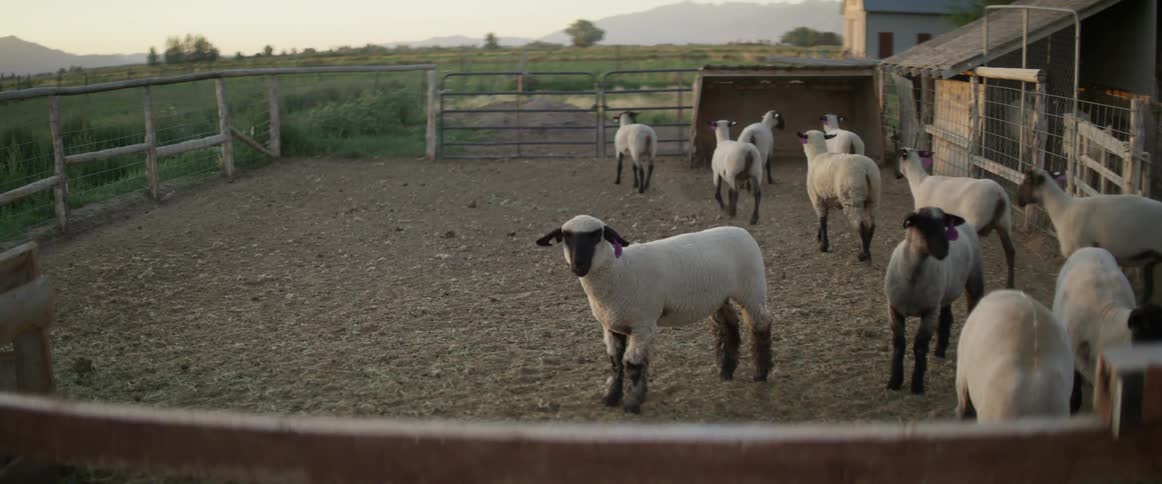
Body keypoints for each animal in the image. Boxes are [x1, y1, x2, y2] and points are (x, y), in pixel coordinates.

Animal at [536, 215, 772, 413]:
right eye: (566, 237)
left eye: (597, 236)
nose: (579, 265)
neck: (620, 270)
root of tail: (741, 230)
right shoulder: (611, 325)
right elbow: (615, 362)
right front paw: (611, 398)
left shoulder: (643, 324)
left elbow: (632, 364)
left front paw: (632, 403)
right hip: (720, 296)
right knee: (727, 325)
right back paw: (726, 372)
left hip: (752, 289)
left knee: (760, 325)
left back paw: (761, 374)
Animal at [796, 129, 882, 261]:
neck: (815, 156)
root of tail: (866, 169)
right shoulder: (828, 199)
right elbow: (823, 219)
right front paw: (820, 236)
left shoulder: (816, 198)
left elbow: (822, 220)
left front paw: (824, 246)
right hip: (873, 196)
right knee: (871, 224)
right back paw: (867, 250)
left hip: (851, 197)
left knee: (861, 225)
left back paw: (863, 254)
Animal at [884, 206, 984, 394]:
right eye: (922, 224)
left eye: (944, 224)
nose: (944, 249)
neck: (913, 278)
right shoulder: (894, 309)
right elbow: (899, 345)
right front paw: (894, 382)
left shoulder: (930, 311)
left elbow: (920, 346)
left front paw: (917, 385)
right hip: (945, 294)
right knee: (946, 318)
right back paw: (939, 351)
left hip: (974, 278)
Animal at [894, 147, 1016, 288]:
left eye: (897, 156)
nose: (896, 175)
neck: (918, 182)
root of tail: (999, 195)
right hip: (1004, 222)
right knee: (1010, 252)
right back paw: (1010, 285)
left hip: (975, 220)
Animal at [1017, 168, 1162, 303]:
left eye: (1026, 181)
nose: (1018, 201)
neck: (1062, 211)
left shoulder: (1080, 248)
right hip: (1150, 259)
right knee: (1149, 291)